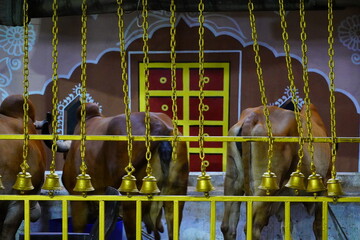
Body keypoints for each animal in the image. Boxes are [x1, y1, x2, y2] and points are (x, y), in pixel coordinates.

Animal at [221, 103, 330, 240]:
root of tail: (254, 115)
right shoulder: (324, 186)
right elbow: (319, 226)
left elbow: (287, 227)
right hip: (265, 186)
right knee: (253, 227)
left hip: (232, 179)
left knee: (228, 227)